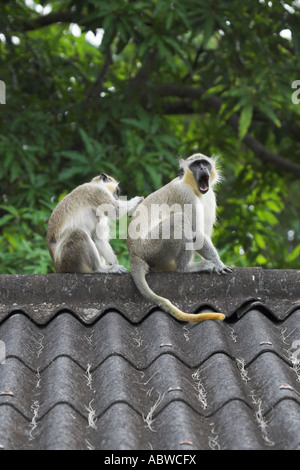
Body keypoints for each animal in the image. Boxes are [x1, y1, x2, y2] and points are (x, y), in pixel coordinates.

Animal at [126, 154, 232, 324]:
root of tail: (133, 254)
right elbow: (195, 232)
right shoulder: (185, 194)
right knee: (179, 219)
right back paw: (186, 268)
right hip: (152, 248)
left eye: (205, 163)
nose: (203, 168)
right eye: (196, 165)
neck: (194, 188)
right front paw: (218, 263)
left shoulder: (210, 196)